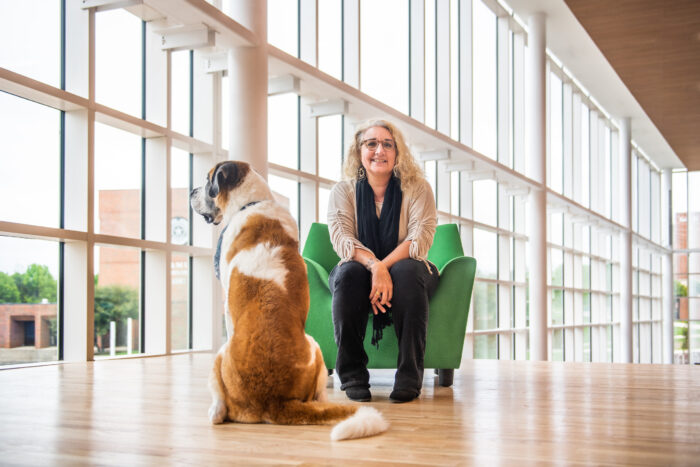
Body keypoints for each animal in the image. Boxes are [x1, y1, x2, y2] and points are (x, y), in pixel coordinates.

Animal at [191, 162, 388, 442]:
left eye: (208, 181)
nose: (191, 192)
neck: (251, 203)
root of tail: (274, 400)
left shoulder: (227, 310)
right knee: (320, 395)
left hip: (226, 355)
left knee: (219, 407)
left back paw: (214, 411)